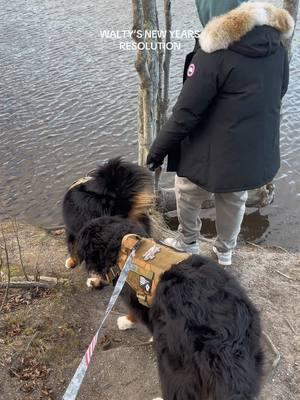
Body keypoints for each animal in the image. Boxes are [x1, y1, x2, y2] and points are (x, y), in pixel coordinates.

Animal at [78, 216, 264, 400]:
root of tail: (226, 341)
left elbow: (136, 314)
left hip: (175, 363)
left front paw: (126, 322)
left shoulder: (136, 299)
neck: (125, 245)